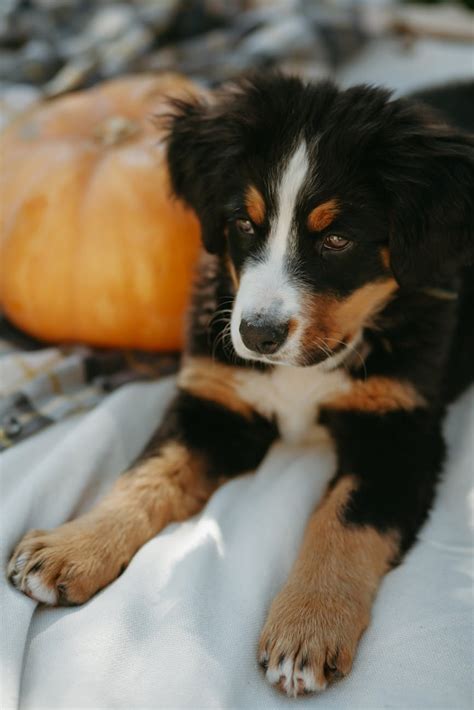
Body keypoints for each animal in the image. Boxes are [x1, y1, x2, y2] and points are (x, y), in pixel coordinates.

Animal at [8, 75, 474, 700]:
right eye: (246, 224)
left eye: (337, 240)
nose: (257, 334)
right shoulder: (215, 403)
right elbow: (147, 473)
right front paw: (72, 547)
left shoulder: (398, 432)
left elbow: (343, 523)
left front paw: (307, 628)